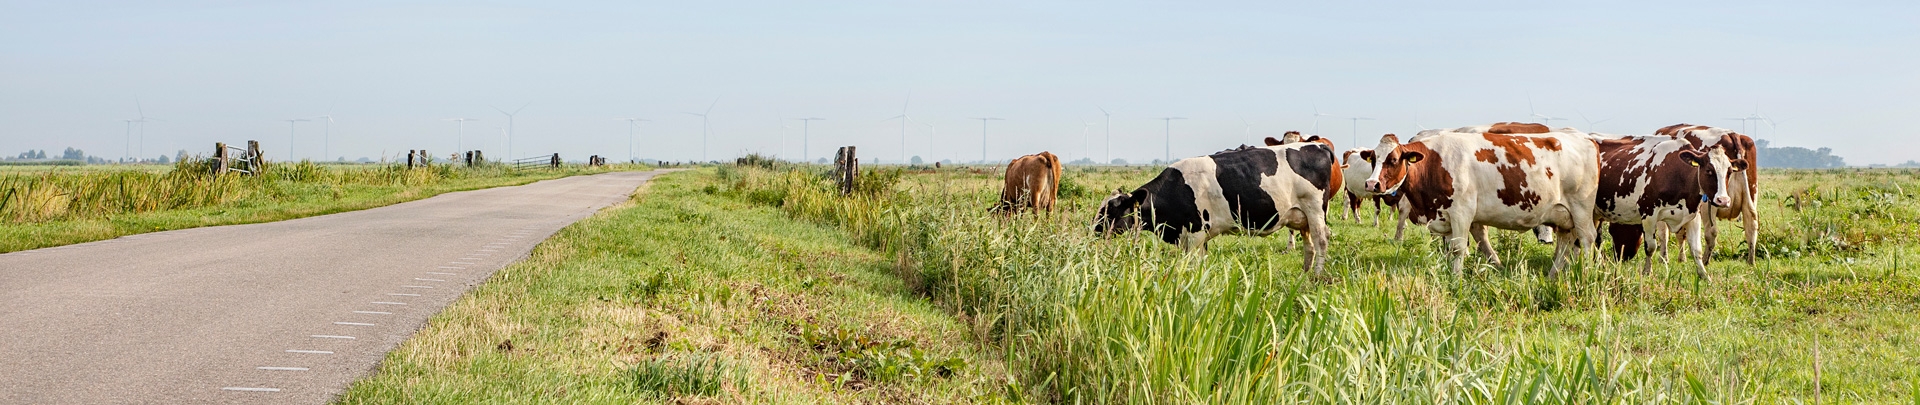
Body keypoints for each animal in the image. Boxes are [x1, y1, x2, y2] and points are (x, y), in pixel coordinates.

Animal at [1093, 141, 1336, 274]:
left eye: (1111, 210)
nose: (1094, 230)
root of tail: (1318, 145)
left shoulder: (1195, 233)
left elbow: (1193, 264)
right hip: (1301, 216)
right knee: (1309, 246)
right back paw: (1304, 274)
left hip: (1315, 208)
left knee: (1321, 240)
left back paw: (1316, 276)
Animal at [1364, 128, 1599, 275]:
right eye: (1373, 159)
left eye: (1393, 159)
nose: (1371, 184)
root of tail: (1587, 139)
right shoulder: (1446, 215)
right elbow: (1453, 247)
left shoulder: (1461, 212)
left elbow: (1458, 248)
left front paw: (1455, 278)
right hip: (1563, 216)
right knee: (1565, 242)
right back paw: (1553, 275)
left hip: (1581, 209)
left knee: (1587, 239)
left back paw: (1586, 274)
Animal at [1593, 135, 1746, 278]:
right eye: (1709, 170)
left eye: (1730, 172)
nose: (1723, 200)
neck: (1676, 174)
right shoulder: (1649, 214)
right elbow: (1651, 247)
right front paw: (1647, 272)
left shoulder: (1692, 216)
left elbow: (1696, 249)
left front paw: (1704, 276)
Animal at [1656, 124, 1761, 265]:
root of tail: (1731, 134)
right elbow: (1680, 233)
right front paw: (1681, 258)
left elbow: (1664, 233)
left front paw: (1664, 259)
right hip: (1750, 195)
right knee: (1751, 225)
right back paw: (1751, 261)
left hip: (1711, 204)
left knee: (1711, 232)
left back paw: (1705, 260)